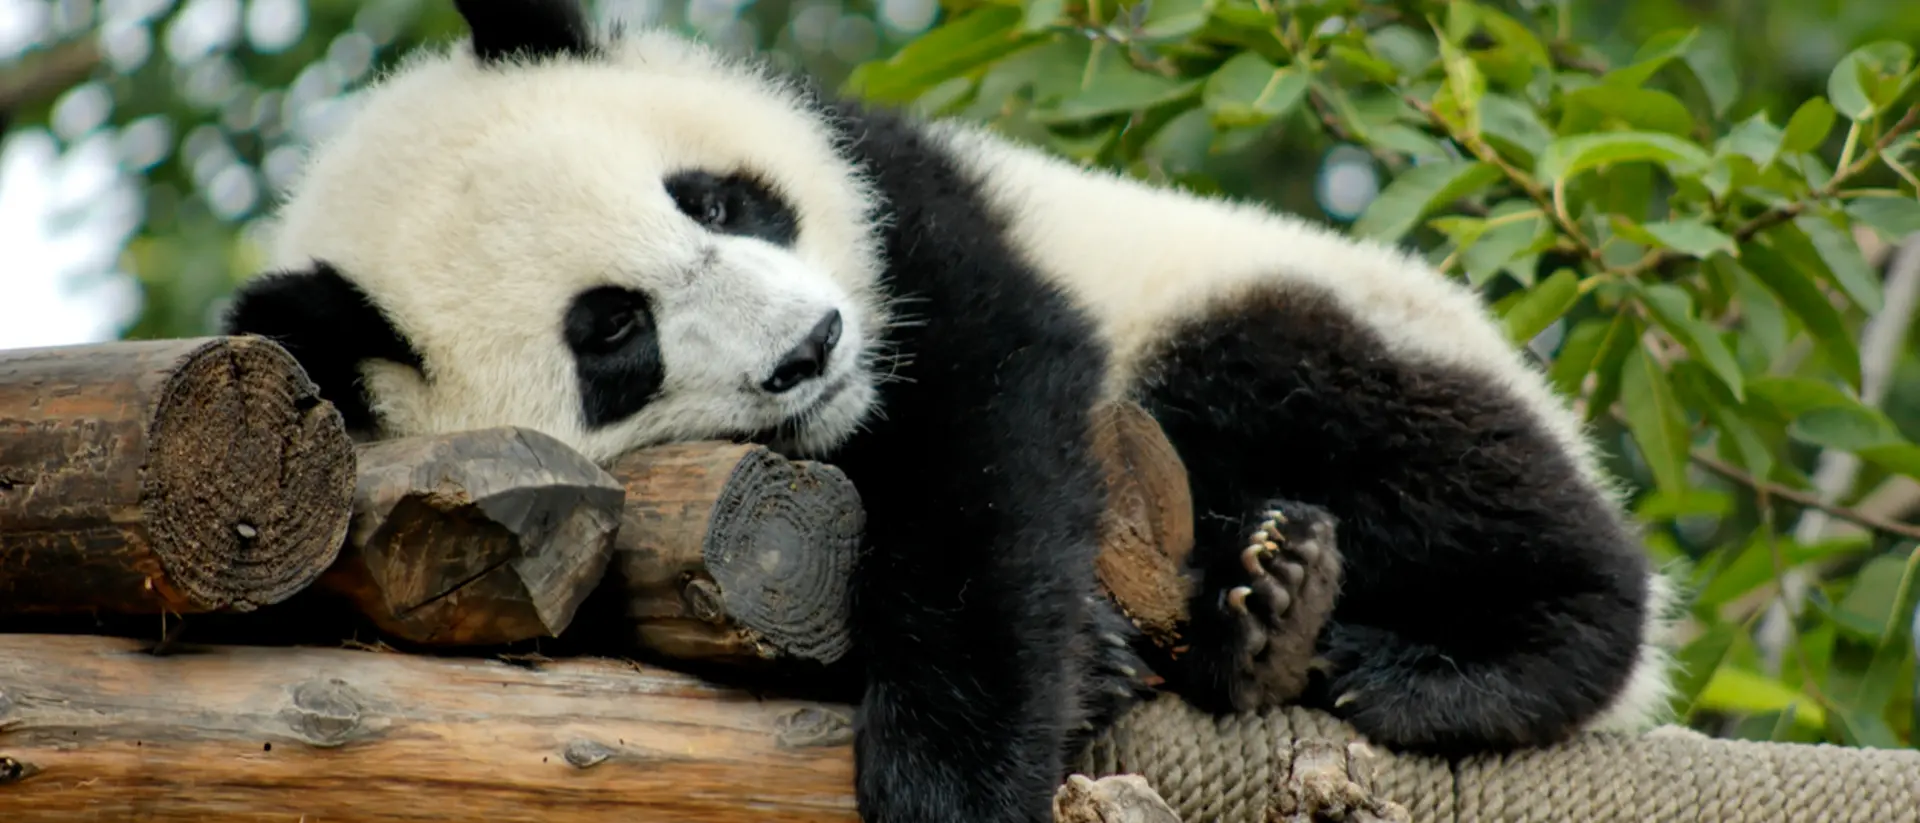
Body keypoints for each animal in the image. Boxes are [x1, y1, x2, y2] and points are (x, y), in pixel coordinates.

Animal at [222, 1, 1677, 821]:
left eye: (716, 197)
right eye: (613, 331)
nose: (812, 347)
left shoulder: (911, 216)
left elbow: (991, 449)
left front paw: (953, 773)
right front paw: (1087, 666)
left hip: (1284, 309)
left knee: (1356, 417)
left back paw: (1438, 654)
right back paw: (1262, 627)